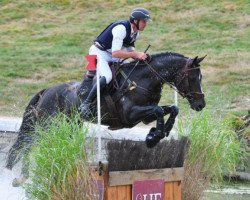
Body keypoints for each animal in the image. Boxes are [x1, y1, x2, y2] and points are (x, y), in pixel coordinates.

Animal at [5, 51, 206, 186]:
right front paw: (153, 137)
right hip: (47, 125)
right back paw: (20, 177)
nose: (201, 105)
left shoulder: (144, 116)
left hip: (70, 125)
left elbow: (172, 109)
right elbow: (158, 110)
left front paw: (161, 132)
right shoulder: (130, 115)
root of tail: (46, 91)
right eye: (193, 78)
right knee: (27, 146)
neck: (144, 79)